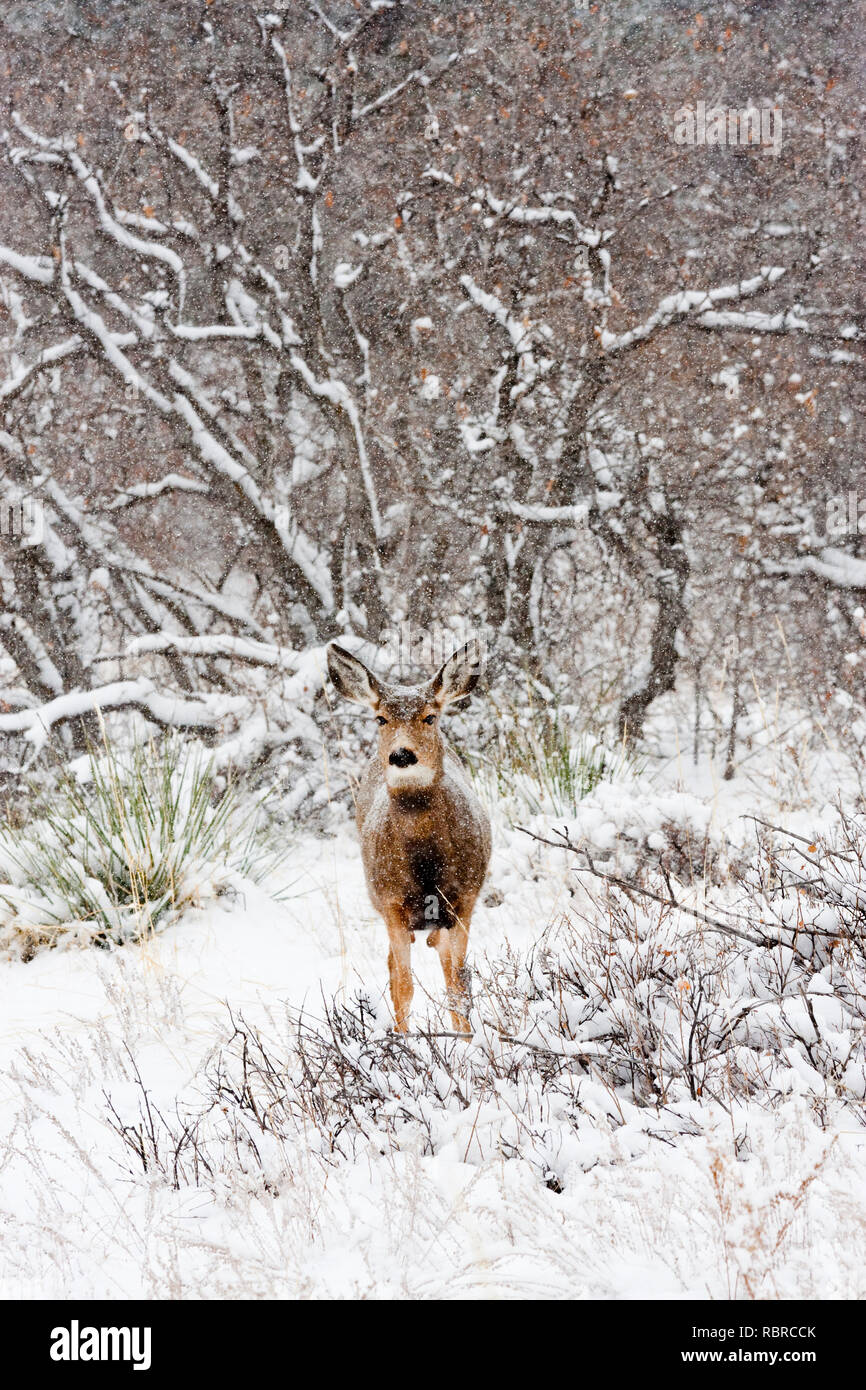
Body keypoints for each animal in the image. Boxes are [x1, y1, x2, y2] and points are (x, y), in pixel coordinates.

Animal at [326, 639, 492, 1035]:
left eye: (429, 717)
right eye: (381, 719)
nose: (402, 755)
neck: (425, 864)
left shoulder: (465, 899)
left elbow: (458, 984)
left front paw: (469, 1045)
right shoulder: (390, 902)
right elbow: (403, 986)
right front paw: (404, 1042)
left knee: (447, 965)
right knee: (395, 968)